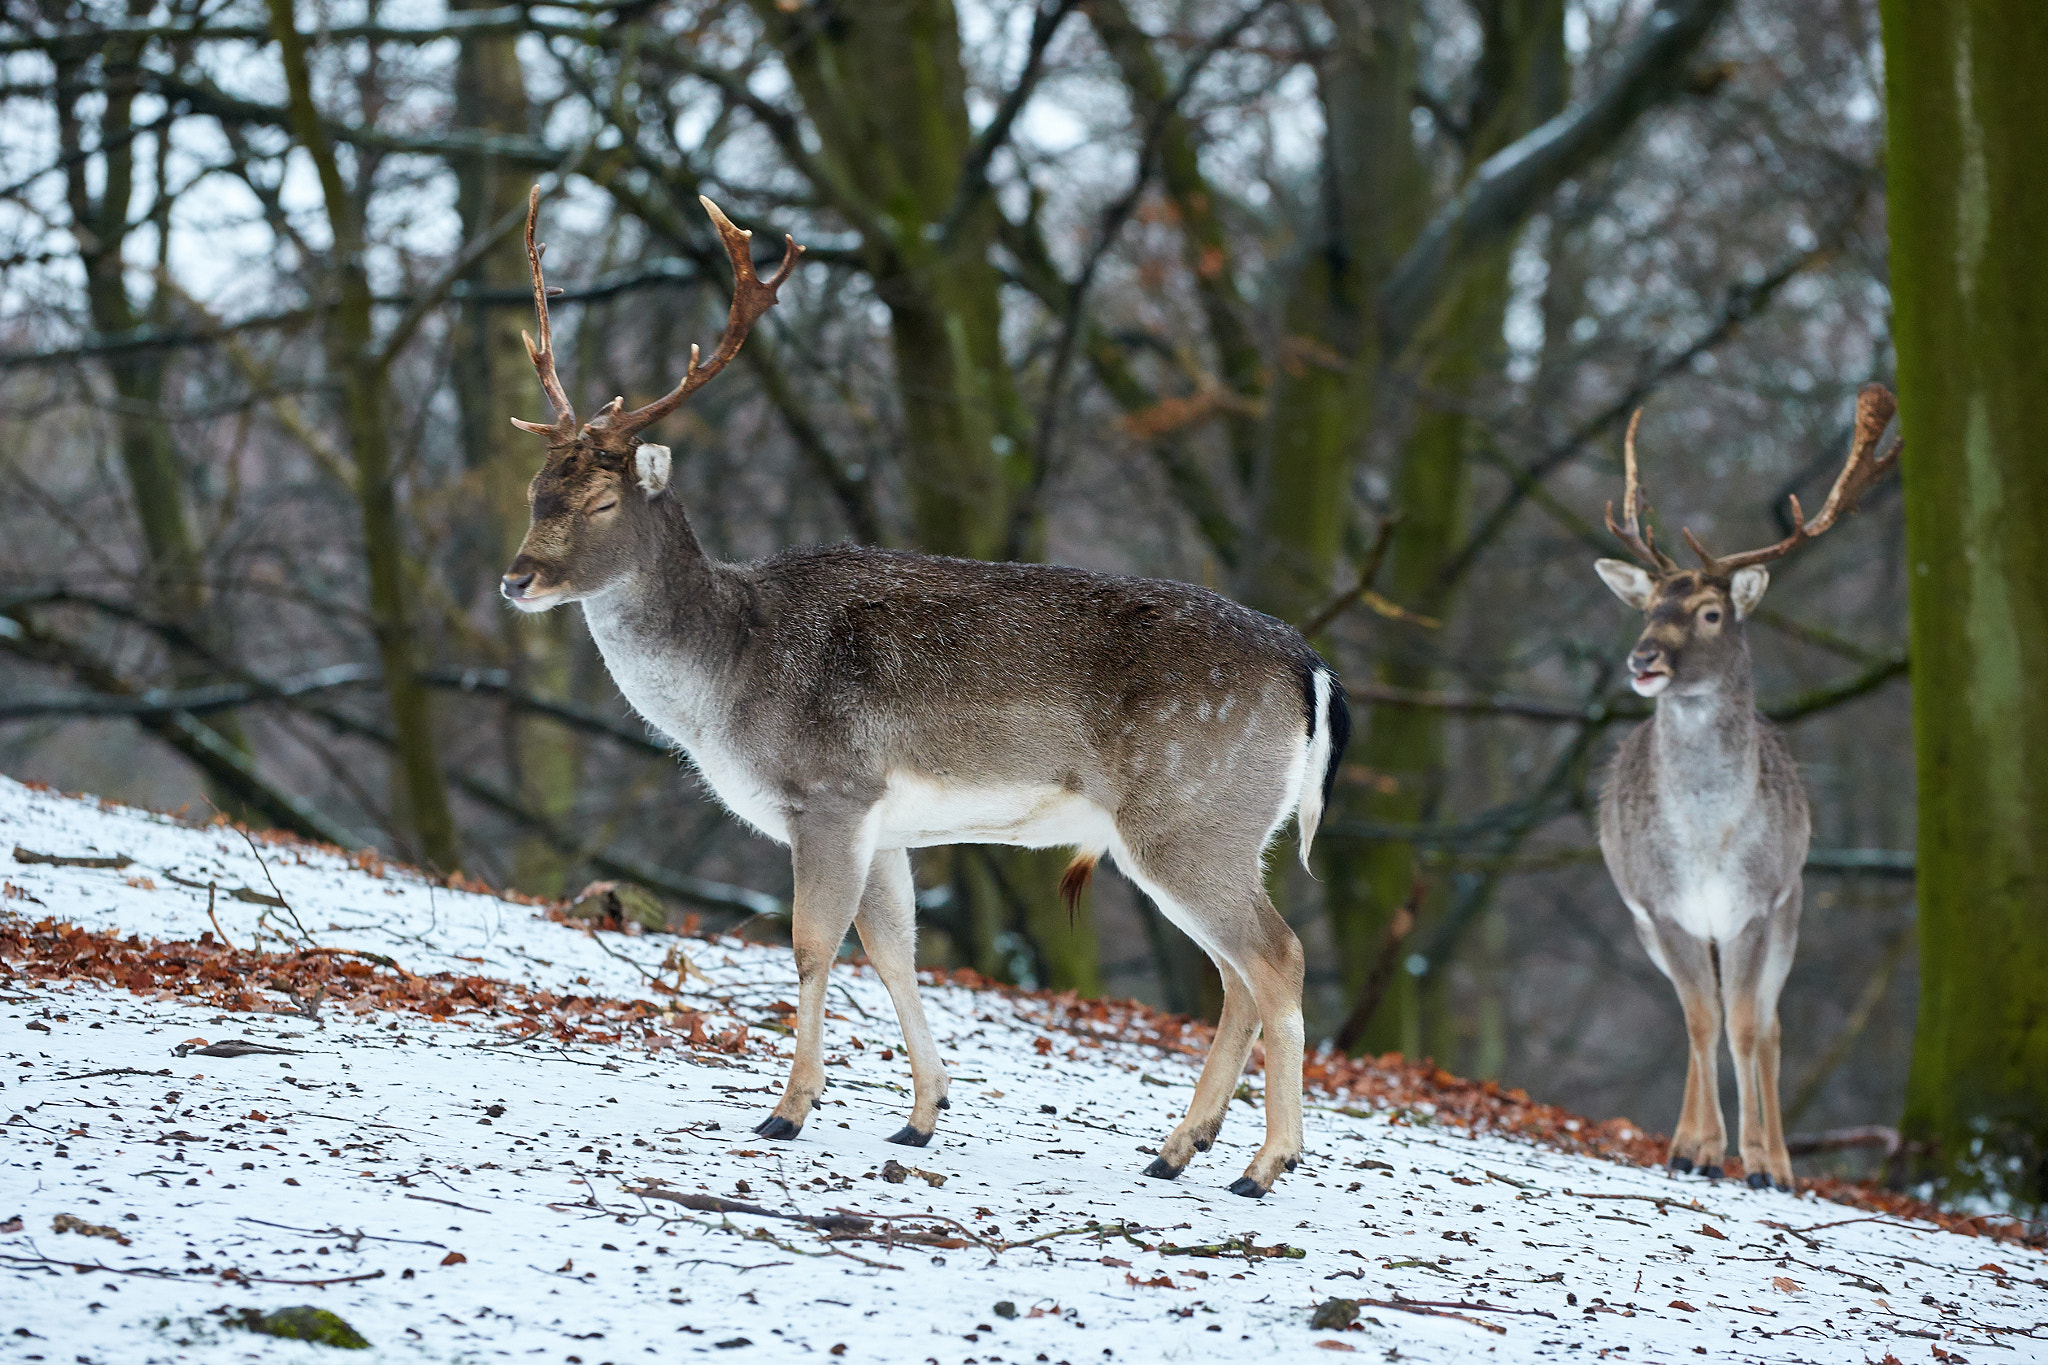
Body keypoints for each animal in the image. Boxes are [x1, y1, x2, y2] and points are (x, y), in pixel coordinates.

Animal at [496, 189, 1350, 1198]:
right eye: (535, 490)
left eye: (598, 503)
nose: (515, 580)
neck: (729, 676)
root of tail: (1312, 670)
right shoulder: (887, 821)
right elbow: (893, 948)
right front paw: (921, 1115)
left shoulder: (830, 789)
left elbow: (812, 943)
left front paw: (788, 1110)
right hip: (1214, 830)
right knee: (1236, 972)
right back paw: (1178, 1148)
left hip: (1191, 812)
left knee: (1277, 955)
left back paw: (1265, 1162)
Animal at [1592, 385, 1900, 1191]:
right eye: (1647, 608)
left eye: (1710, 613)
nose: (1642, 659)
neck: (1707, 842)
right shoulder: (1660, 906)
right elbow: (1702, 1021)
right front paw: (1694, 1149)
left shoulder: (1759, 902)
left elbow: (1748, 1026)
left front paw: (1760, 1161)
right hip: (1658, 924)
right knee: (1703, 1014)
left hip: (1791, 906)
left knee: (1769, 1025)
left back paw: (1778, 1159)